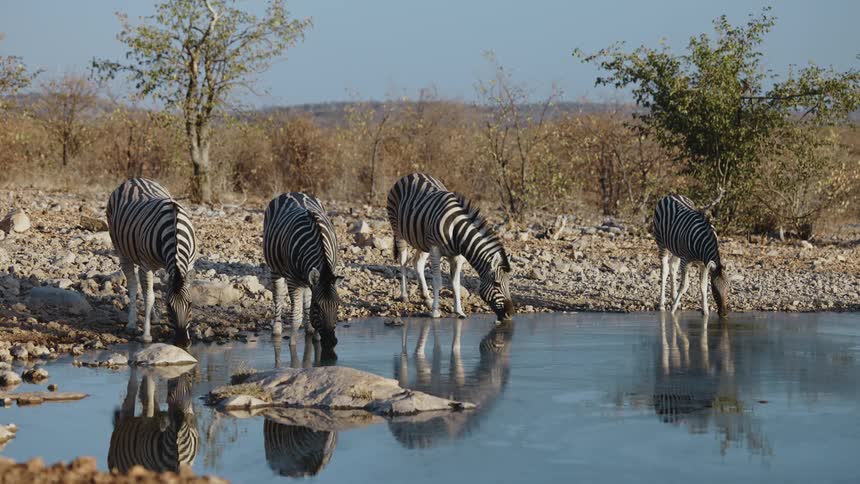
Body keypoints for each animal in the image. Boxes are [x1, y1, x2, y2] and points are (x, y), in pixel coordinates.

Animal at [107, 178, 197, 345]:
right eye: (168, 306)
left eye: (190, 304)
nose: (182, 343)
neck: (174, 232)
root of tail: (134, 179)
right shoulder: (146, 265)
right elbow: (149, 297)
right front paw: (146, 335)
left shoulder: (190, 264)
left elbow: (152, 294)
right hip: (122, 251)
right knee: (134, 285)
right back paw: (131, 324)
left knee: (148, 288)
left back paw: (154, 318)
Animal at [263, 192, 341, 355]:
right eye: (317, 306)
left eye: (337, 305)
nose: (331, 342)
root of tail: (292, 193)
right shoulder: (293, 280)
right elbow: (296, 316)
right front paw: (292, 345)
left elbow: (308, 306)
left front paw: (316, 338)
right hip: (275, 269)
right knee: (278, 296)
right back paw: (277, 328)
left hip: (305, 279)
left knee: (306, 295)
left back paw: (309, 328)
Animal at [387, 173, 514, 322]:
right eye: (497, 283)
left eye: (509, 283)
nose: (510, 314)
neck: (457, 231)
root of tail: (413, 174)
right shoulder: (435, 250)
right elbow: (437, 281)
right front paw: (435, 312)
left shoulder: (457, 256)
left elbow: (456, 283)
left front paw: (459, 311)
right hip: (398, 230)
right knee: (403, 261)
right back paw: (404, 295)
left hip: (422, 240)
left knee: (417, 262)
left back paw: (427, 298)